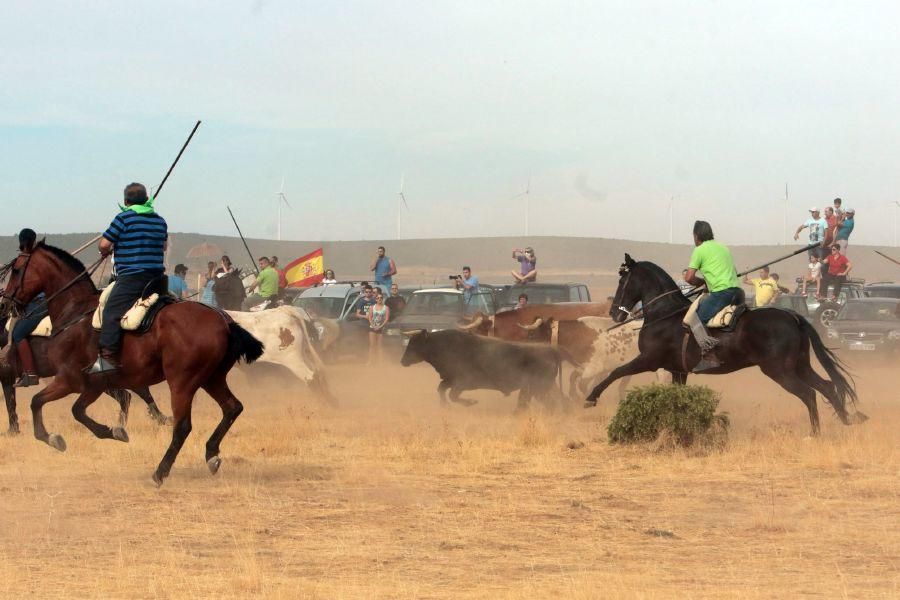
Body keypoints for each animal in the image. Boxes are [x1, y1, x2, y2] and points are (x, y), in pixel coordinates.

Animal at [0, 241, 266, 486]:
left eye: (17, 269)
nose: (6, 303)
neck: (74, 313)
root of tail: (224, 321)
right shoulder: (93, 385)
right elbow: (75, 410)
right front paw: (114, 431)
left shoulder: (69, 380)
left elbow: (38, 403)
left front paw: (54, 438)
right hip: (212, 378)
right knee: (232, 408)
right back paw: (211, 454)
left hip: (182, 382)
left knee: (182, 426)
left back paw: (160, 471)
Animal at [400, 326, 568, 410]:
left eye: (414, 344)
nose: (403, 361)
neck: (442, 345)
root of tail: (551, 350)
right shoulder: (450, 380)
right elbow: (441, 390)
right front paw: (445, 406)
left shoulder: (461, 383)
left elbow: (452, 395)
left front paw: (470, 402)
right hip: (543, 387)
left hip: (540, 387)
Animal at [588, 254, 868, 436]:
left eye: (623, 281)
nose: (614, 313)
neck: (665, 314)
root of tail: (793, 317)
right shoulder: (678, 370)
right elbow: (676, 397)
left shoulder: (648, 360)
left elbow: (616, 372)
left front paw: (591, 397)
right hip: (799, 365)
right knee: (827, 386)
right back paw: (845, 421)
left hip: (780, 371)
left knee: (809, 394)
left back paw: (816, 432)